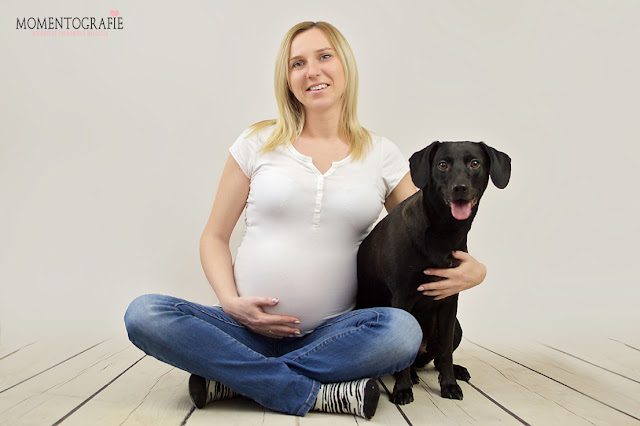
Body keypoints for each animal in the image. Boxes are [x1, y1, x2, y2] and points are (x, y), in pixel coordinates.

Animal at [356, 141, 510, 404]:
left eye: (475, 163)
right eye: (442, 165)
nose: (460, 188)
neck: (443, 232)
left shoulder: (449, 301)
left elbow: (446, 352)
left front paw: (449, 385)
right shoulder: (402, 297)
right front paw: (402, 389)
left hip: (457, 327)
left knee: (438, 357)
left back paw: (456, 371)